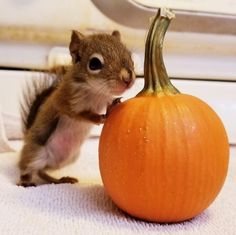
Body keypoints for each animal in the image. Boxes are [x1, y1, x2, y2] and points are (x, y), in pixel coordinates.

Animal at [17, 29, 136, 187]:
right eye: (94, 63)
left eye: (129, 54)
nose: (128, 78)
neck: (96, 92)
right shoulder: (65, 101)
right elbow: (81, 114)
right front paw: (100, 117)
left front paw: (113, 106)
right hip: (35, 154)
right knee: (30, 170)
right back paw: (25, 182)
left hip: (67, 158)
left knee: (42, 172)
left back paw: (60, 180)